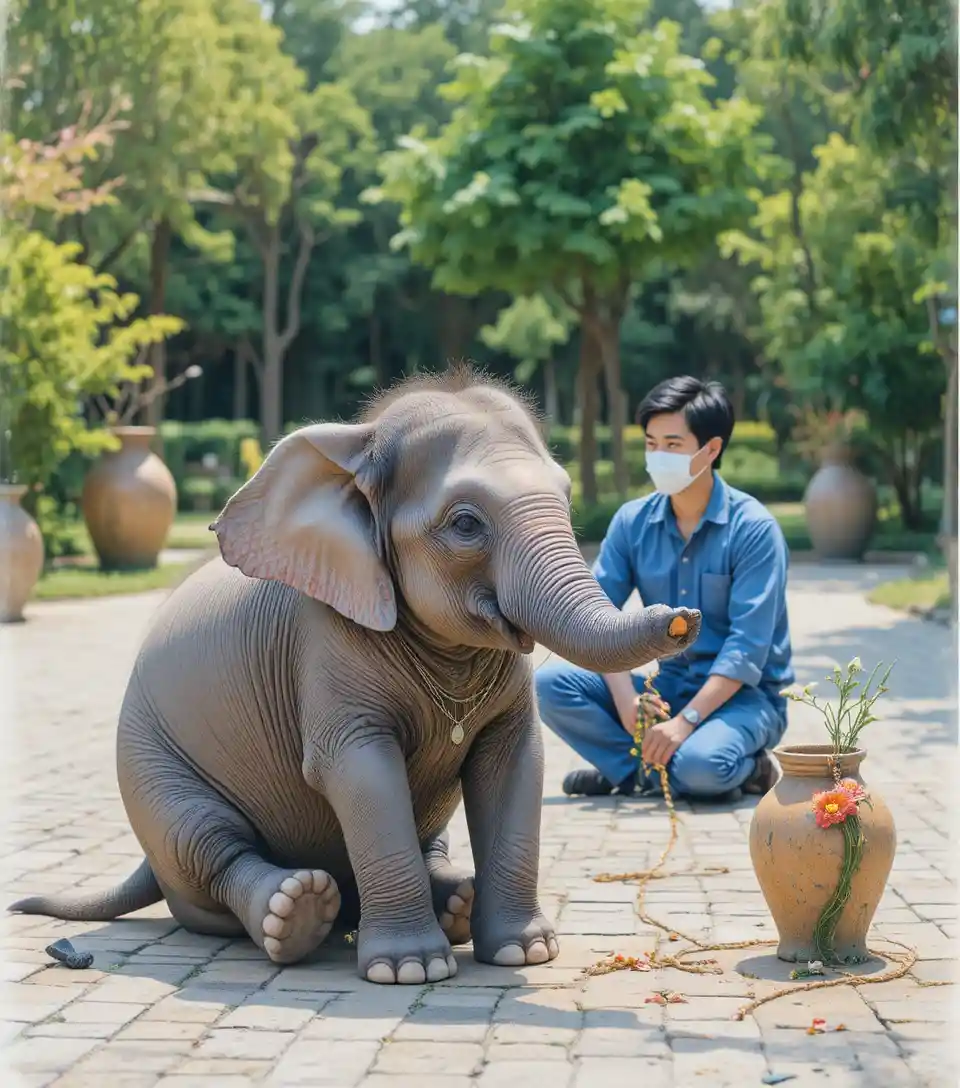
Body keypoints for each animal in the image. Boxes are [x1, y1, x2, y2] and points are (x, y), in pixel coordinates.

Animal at [10, 366, 701, 984]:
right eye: (466, 523)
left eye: (565, 499)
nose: (681, 617)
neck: (360, 444)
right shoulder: (323, 642)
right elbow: (357, 767)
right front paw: (412, 970)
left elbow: (513, 760)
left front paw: (524, 954)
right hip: (151, 768)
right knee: (207, 843)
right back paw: (297, 913)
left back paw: (454, 902)